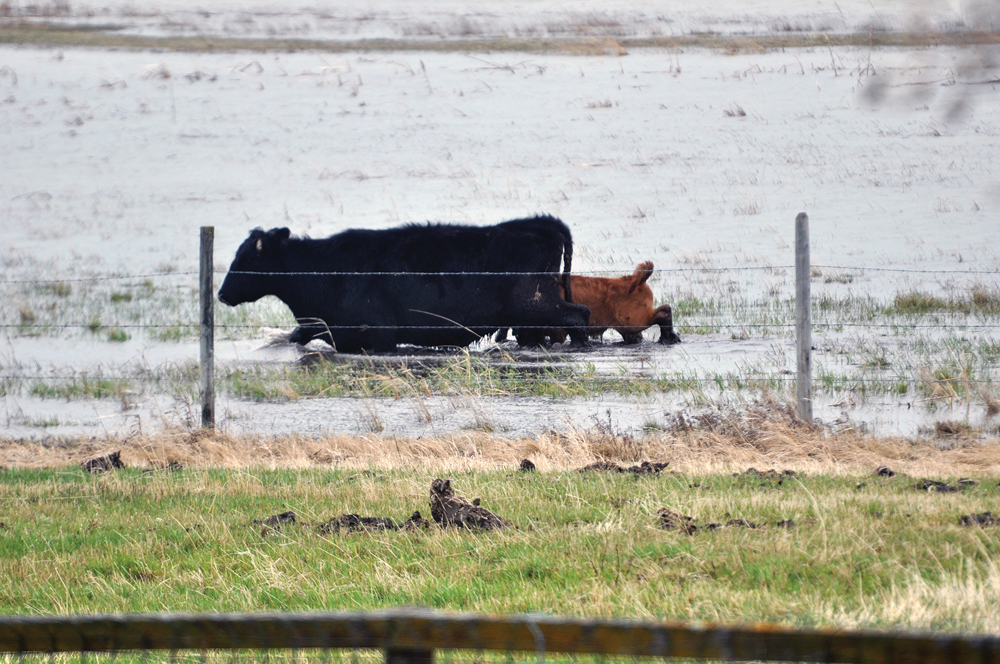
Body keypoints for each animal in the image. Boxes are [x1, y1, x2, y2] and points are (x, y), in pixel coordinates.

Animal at [217, 215, 591, 353]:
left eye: (245, 259)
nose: (221, 294)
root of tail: (538, 223)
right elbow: (295, 337)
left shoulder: (376, 334)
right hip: (531, 310)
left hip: (535, 302)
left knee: (580, 314)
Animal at [508, 261, 681, 345]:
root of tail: (636, 280)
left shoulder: (558, 332)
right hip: (627, 328)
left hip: (633, 321)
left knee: (664, 311)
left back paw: (669, 338)